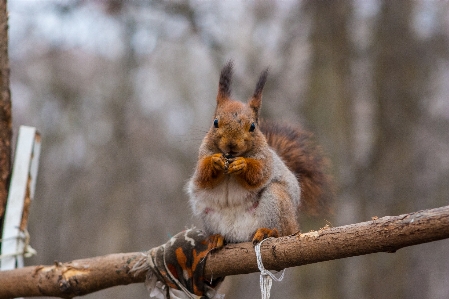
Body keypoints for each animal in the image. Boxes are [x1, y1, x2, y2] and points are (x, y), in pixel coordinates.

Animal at [186, 61, 332, 246]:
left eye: (253, 126)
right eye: (215, 122)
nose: (231, 144)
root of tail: (239, 235)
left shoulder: (266, 160)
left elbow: (258, 175)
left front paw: (242, 164)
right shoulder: (203, 154)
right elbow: (203, 177)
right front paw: (215, 161)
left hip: (276, 201)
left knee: (281, 230)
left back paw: (268, 232)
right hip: (208, 214)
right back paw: (216, 238)